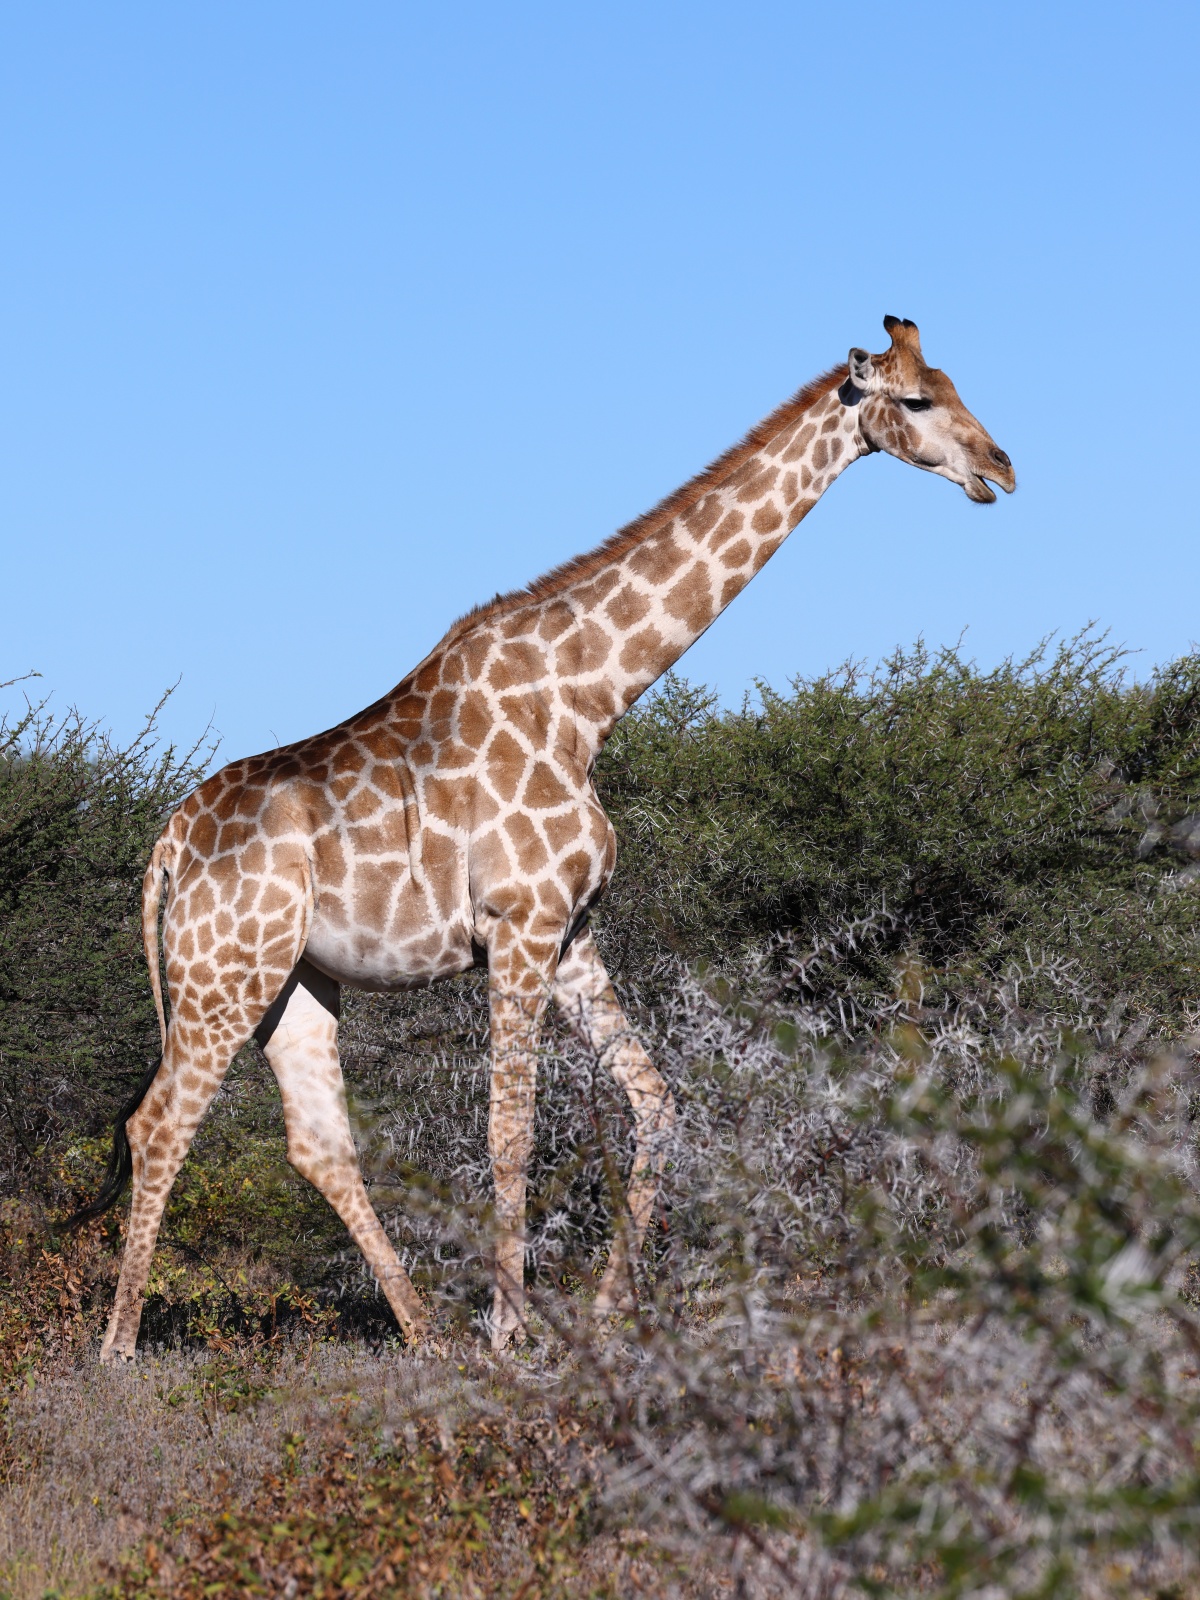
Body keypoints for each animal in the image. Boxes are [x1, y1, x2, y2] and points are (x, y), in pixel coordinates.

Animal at [75, 316, 1014, 1358]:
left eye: (958, 387)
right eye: (919, 400)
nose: (1001, 469)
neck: (591, 699)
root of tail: (166, 845)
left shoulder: (573, 932)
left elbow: (657, 1103)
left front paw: (606, 1311)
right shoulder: (517, 928)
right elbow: (510, 1133)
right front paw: (512, 1326)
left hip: (294, 980)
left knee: (318, 1144)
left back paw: (424, 1334)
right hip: (222, 971)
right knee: (159, 1124)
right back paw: (118, 1349)